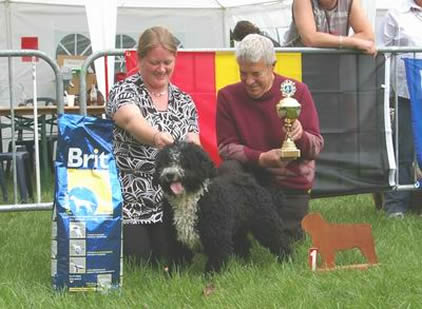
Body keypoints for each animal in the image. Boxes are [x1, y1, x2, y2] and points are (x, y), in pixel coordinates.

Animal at [153, 141, 292, 270]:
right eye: (165, 163)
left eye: (185, 162)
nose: (169, 174)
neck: (191, 198)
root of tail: (251, 179)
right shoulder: (175, 239)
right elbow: (177, 259)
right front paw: (173, 274)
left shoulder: (216, 236)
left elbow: (216, 259)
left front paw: (211, 275)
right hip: (238, 228)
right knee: (243, 244)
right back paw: (244, 263)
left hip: (264, 222)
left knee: (278, 240)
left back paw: (286, 260)